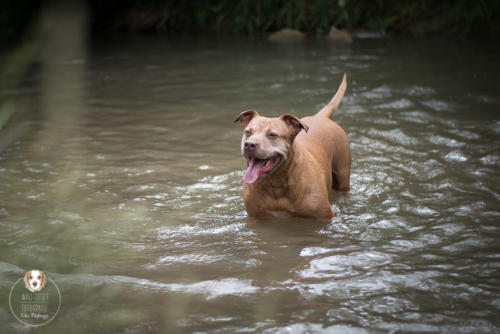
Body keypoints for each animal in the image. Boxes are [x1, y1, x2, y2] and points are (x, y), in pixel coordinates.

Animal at [235, 74, 350, 220]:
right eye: (248, 132)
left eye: (272, 135)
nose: (249, 144)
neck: (275, 184)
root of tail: (320, 116)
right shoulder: (256, 217)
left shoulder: (326, 216)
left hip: (343, 175)